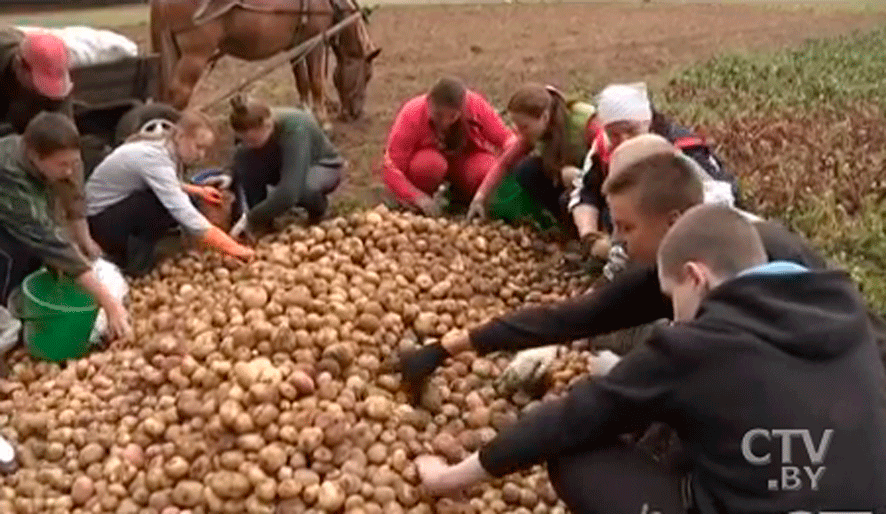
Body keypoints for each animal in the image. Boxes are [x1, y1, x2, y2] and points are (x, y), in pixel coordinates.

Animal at [149, 0, 378, 123]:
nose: (356, 113)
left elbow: (302, 81)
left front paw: (305, 110)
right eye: (367, 75)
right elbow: (316, 82)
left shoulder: (296, 45)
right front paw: (323, 120)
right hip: (195, 56)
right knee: (177, 94)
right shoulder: (315, 42)